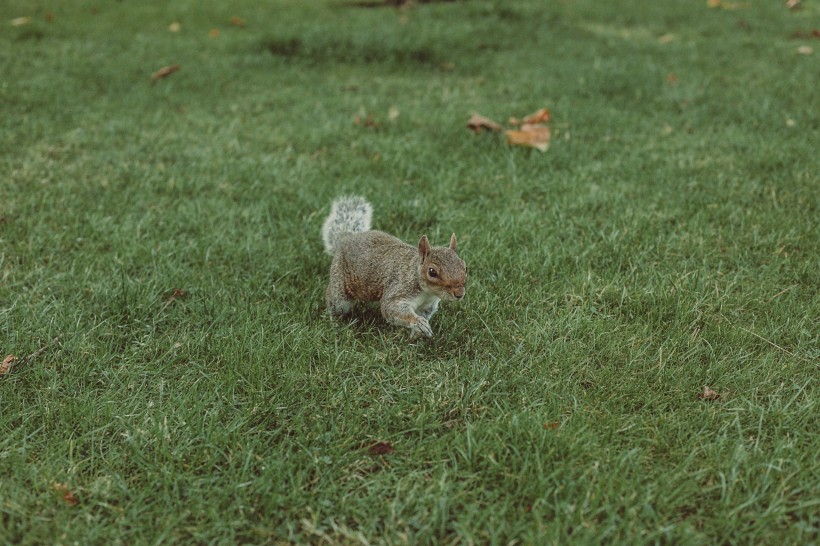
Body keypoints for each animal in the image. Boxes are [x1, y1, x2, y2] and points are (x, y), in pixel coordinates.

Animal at [324, 193, 470, 334]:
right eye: (432, 271)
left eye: (465, 267)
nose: (459, 294)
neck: (426, 292)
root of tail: (345, 238)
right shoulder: (399, 290)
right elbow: (391, 308)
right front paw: (418, 322)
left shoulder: (427, 306)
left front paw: (416, 335)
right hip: (340, 289)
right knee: (334, 302)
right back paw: (335, 324)